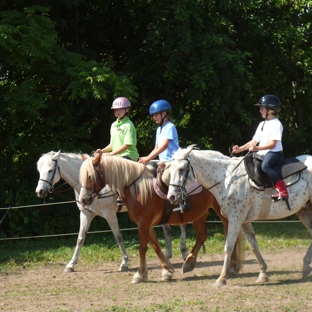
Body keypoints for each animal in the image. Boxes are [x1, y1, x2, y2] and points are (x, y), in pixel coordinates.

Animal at [168, 146, 312, 286]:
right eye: (171, 170)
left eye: (181, 169)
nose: (172, 196)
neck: (226, 179)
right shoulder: (243, 221)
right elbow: (254, 246)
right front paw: (263, 274)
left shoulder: (235, 219)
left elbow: (229, 247)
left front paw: (222, 278)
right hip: (303, 211)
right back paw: (305, 267)